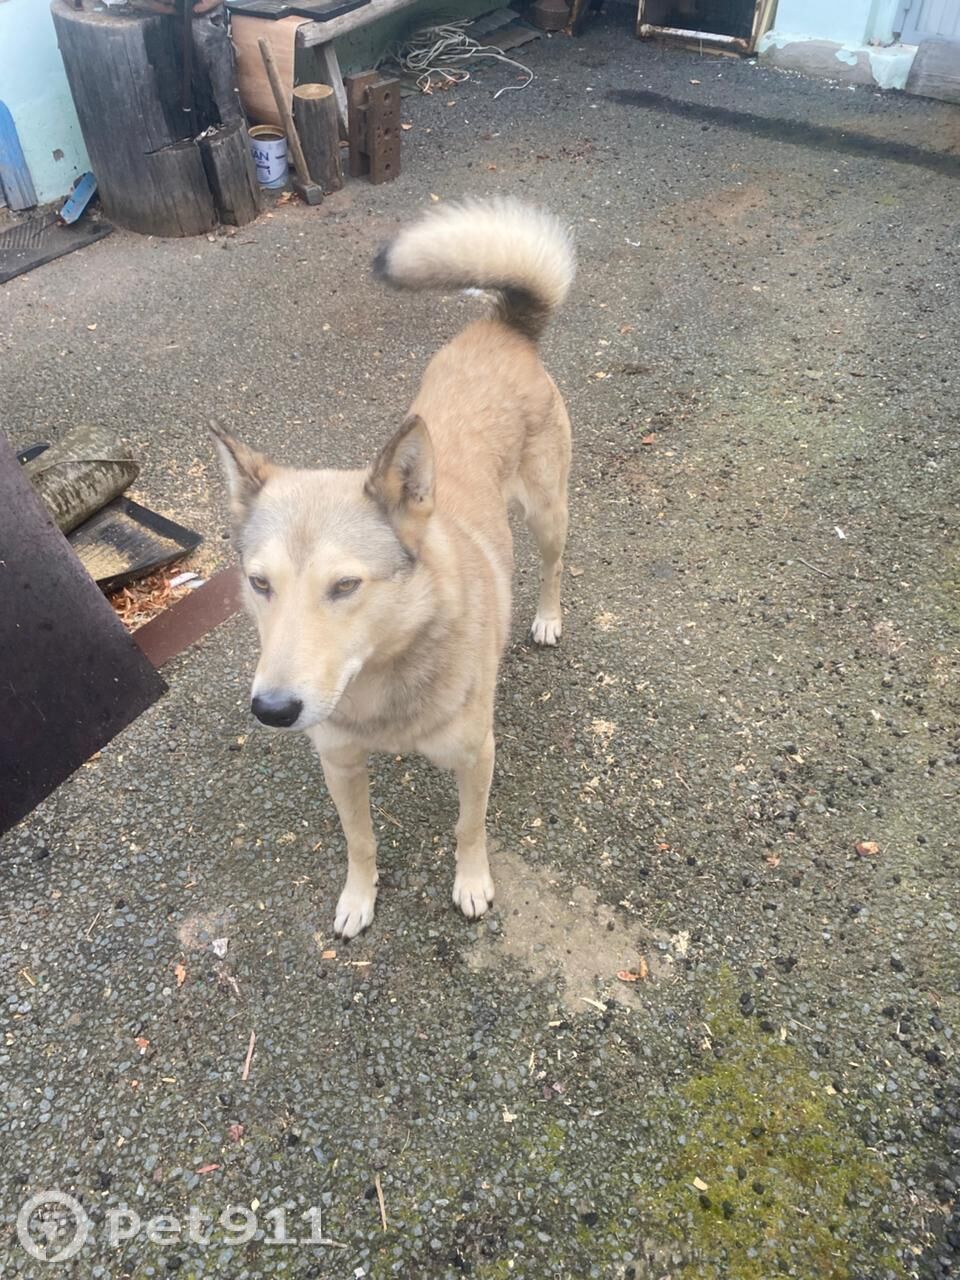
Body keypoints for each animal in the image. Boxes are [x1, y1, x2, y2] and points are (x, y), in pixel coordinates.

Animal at [213, 197, 574, 937]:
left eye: (345, 586)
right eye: (260, 584)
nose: (271, 711)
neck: (384, 673)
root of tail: (504, 328)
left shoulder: (476, 756)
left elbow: (469, 829)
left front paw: (471, 882)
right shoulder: (340, 762)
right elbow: (360, 840)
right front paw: (359, 897)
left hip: (548, 515)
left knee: (554, 565)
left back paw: (548, 618)